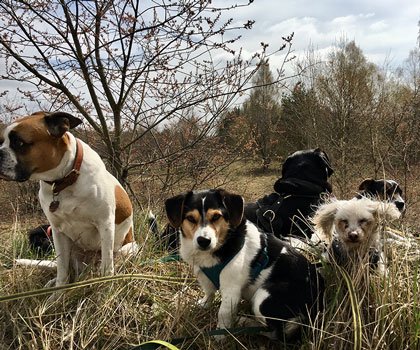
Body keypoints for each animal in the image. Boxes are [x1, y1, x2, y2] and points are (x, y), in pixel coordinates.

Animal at [0, 111, 138, 288]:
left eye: (18, 142)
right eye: (1, 140)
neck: (63, 181)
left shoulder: (105, 225)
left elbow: (107, 269)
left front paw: (106, 288)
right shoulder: (57, 232)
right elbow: (62, 273)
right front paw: (57, 293)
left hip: (128, 248)